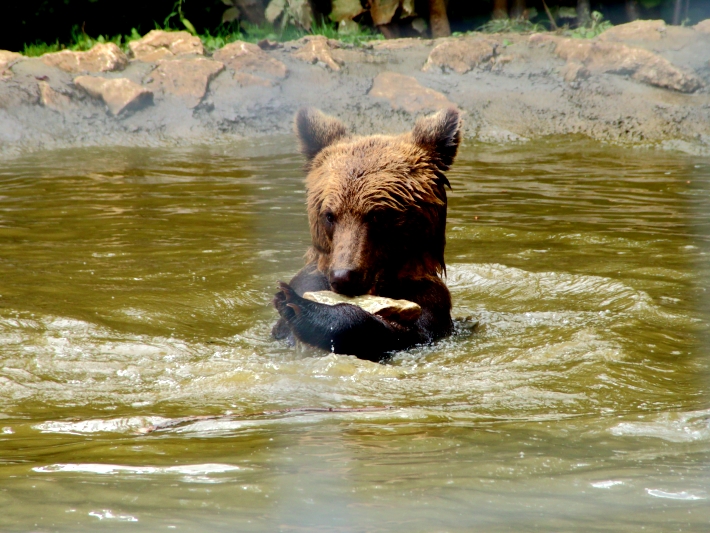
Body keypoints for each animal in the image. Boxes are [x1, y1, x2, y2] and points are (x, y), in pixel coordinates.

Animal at [272, 105, 462, 360]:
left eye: (377, 215)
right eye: (330, 215)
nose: (343, 276)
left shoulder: (429, 304)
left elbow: (399, 331)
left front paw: (301, 307)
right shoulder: (311, 278)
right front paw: (289, 300)